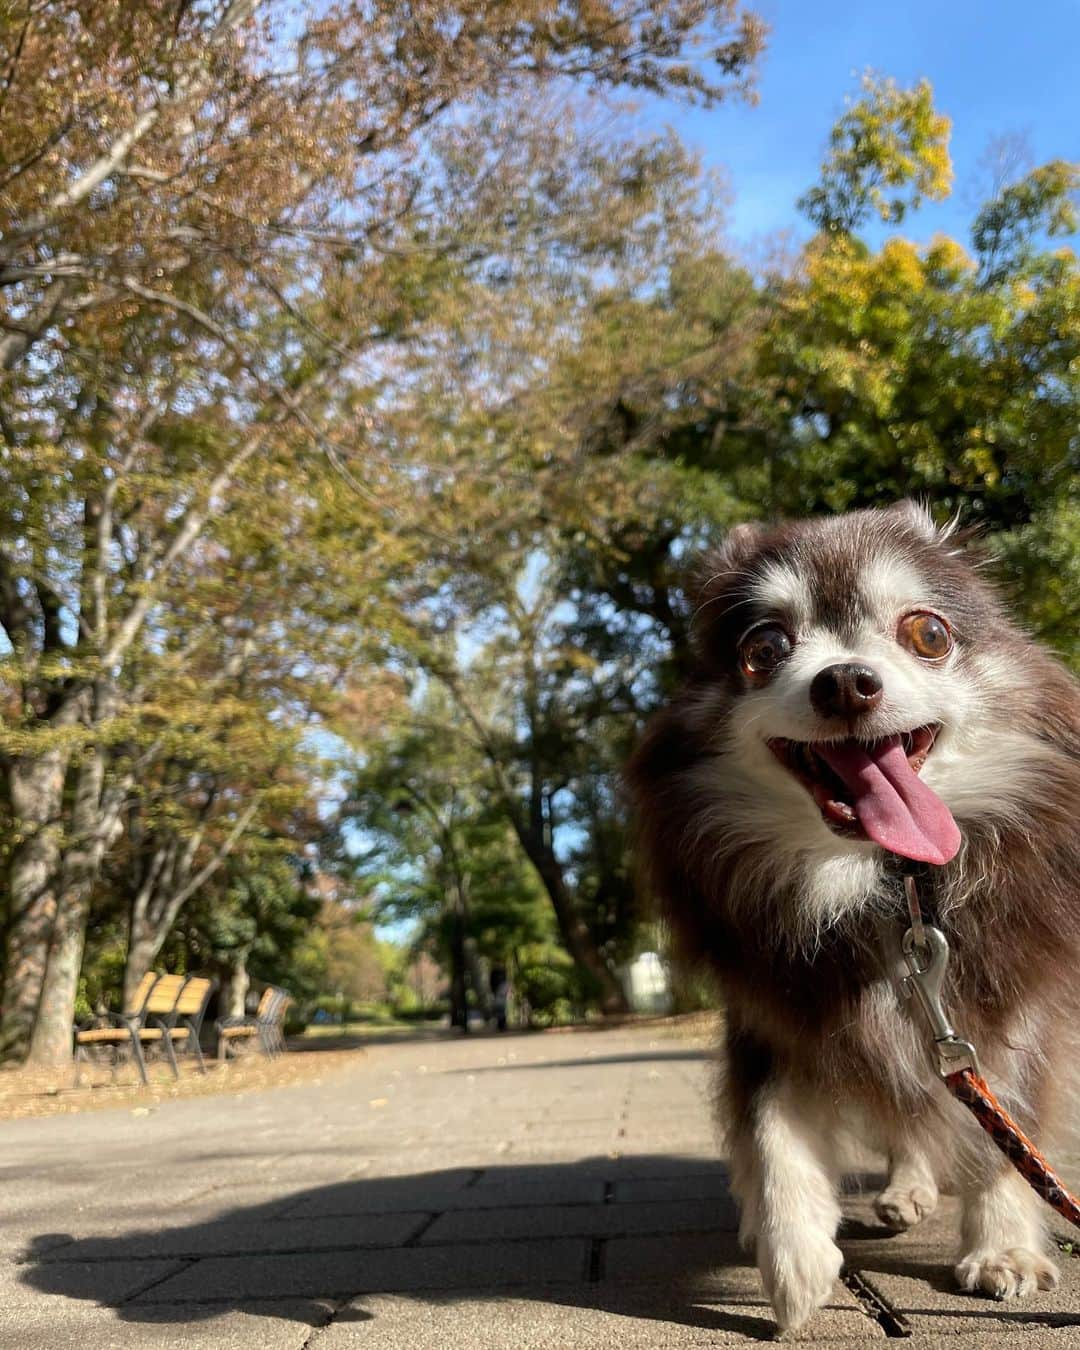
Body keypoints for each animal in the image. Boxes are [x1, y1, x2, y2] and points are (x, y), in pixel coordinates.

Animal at [623, 504, 1080, 1328]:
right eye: (763, 650)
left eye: (928, 633)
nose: (845, 682)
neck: (888, 890)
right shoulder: (773, 1012)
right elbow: (772, 1129)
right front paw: (794, 1259)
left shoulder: (1013, 1005)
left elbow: (1006, 1128)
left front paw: (1002, 1248)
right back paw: (905, 1189)